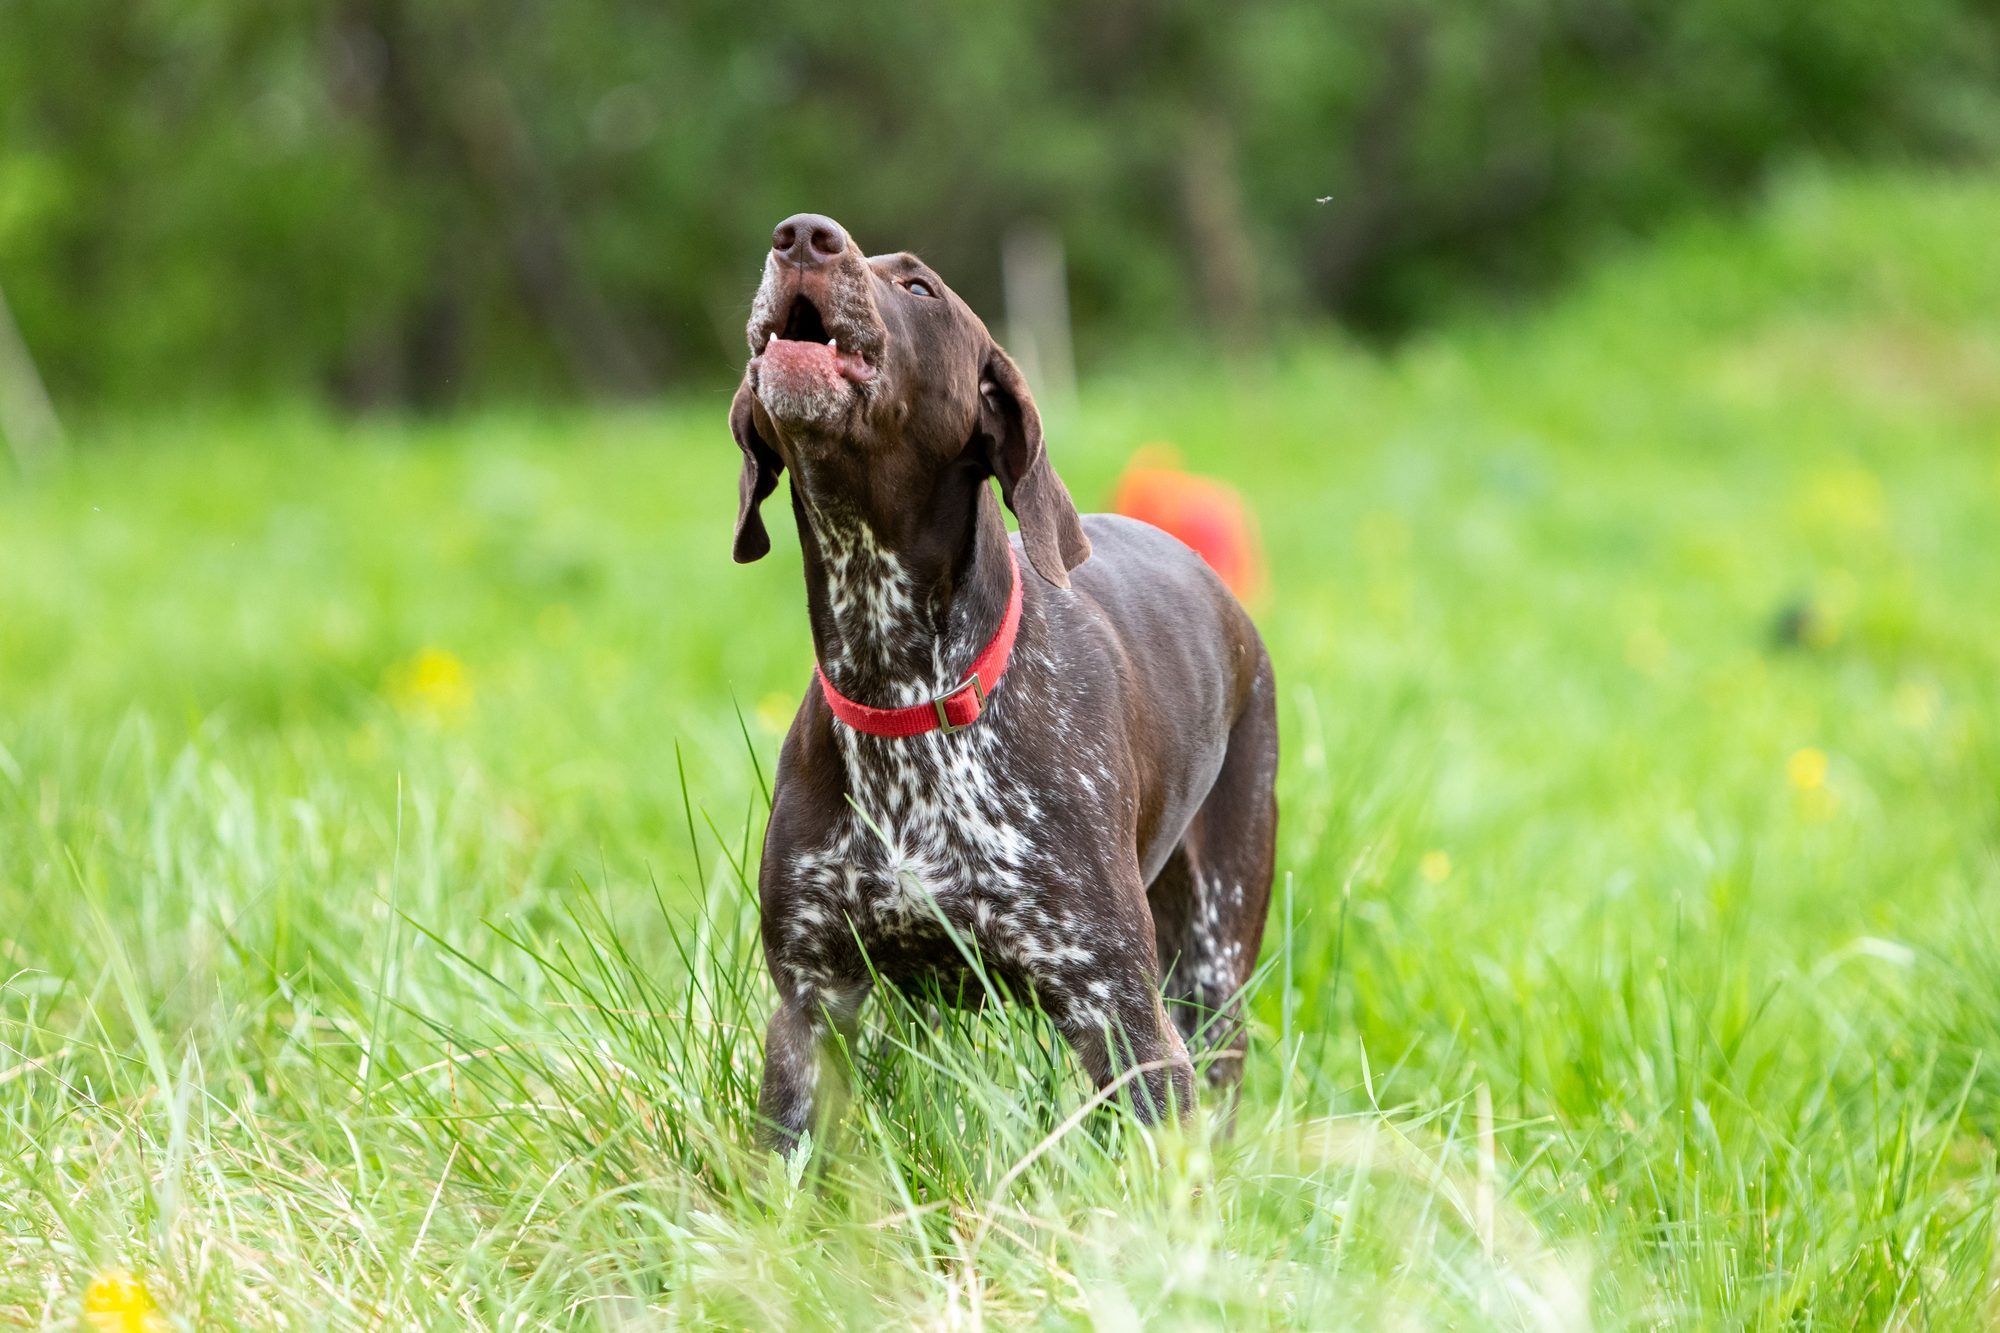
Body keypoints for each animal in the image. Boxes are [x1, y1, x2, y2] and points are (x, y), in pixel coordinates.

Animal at [728, 213, 1272, 1144]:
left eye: (919, 288)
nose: (802, 235)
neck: (904, 688)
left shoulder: (1123, 1016)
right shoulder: (811, 1006)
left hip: (1214, 961)